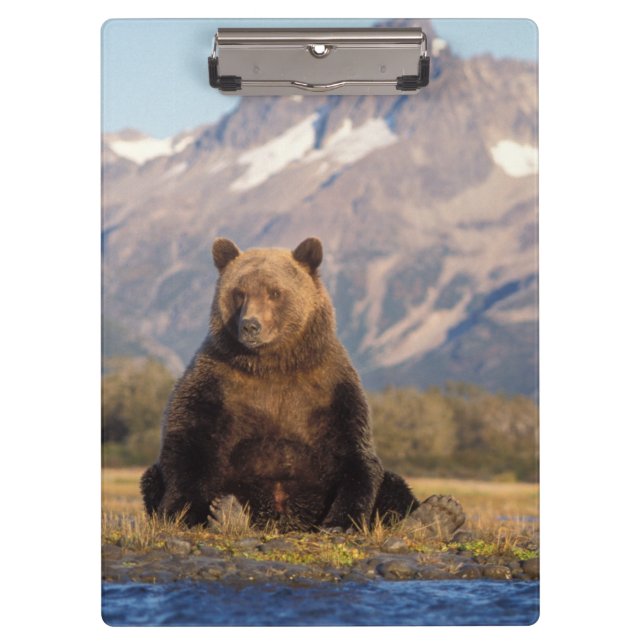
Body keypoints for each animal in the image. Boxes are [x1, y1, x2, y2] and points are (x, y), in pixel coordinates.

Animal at [140, 237, 465, 535]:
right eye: (239, 293)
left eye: (275, 292)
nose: (250, 325)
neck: (272, 365)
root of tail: (285, 522)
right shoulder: (216, 382)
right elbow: (188, 445)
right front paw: (185, 513)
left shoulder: (329, 387)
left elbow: (354, 455)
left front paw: (341, 523)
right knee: (152, 476)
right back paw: (228, 513)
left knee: (393, 484)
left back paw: (438, 513)